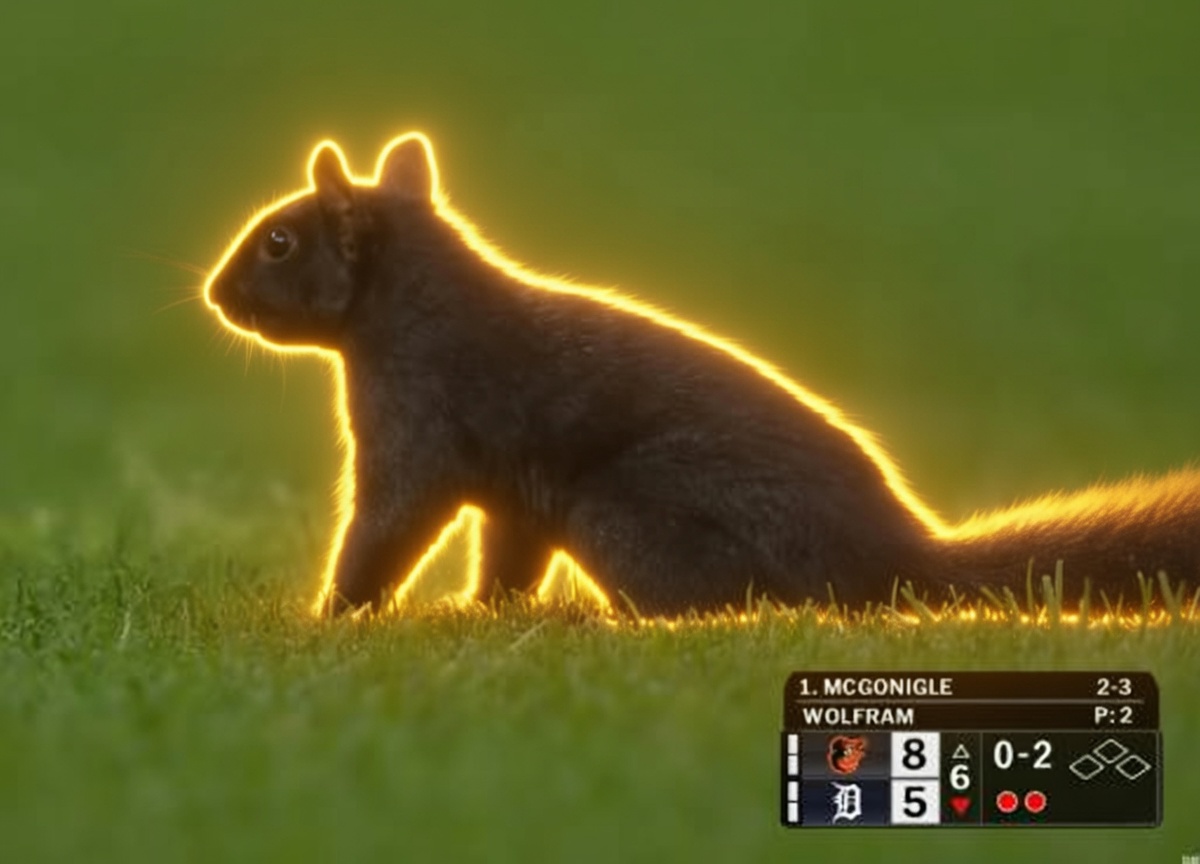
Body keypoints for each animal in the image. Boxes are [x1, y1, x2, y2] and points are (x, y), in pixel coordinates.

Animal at [203, 133, 1200, 617]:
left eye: (279, 241)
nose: (214, 293)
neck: (409, 307)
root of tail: (889, 561)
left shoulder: (421, 424)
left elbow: (386, 530)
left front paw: (331, 619)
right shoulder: (513, 495)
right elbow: (506, 560)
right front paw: (479, 615)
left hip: (623, 513)